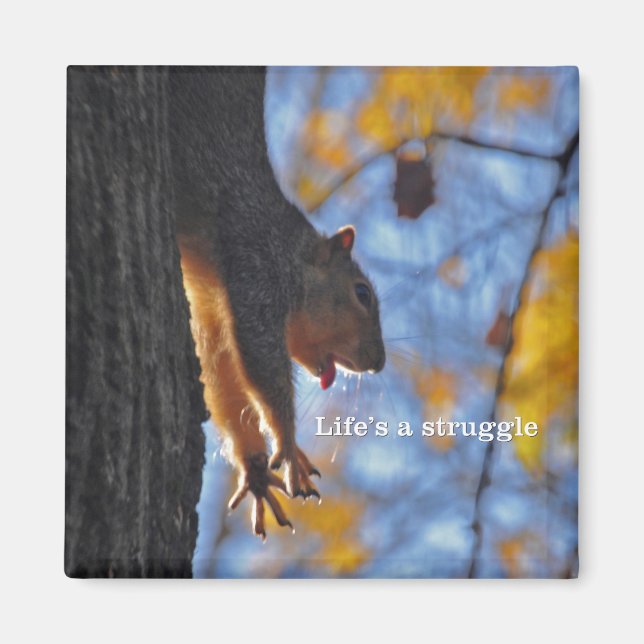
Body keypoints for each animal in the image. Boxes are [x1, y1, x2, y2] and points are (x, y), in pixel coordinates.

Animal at [168, 68, 385, 538]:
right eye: (361, 294)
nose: (378, 363)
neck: (288, 252)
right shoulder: (257, 275)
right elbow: (261, 361)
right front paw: (287, 443)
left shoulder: (213, 311)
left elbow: (221, 376)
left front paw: (255, 471)